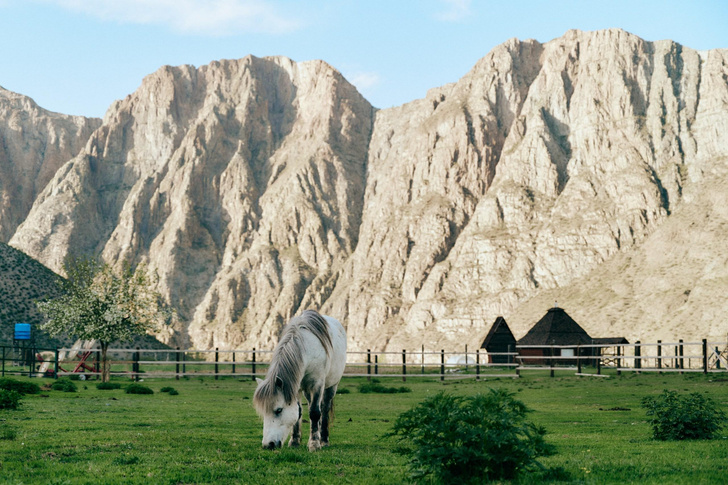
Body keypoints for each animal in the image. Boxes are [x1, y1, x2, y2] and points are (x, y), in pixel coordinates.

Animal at [253, 310, 346, 450]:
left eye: (279, 410)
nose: (268, 445)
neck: (307, 351)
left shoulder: (317, 384)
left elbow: (315, 412)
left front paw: (314, 444)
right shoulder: (295, 387)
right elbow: (299, 412)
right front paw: (295, 441)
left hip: (332, 385)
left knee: (324, 409)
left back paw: (323, 440)